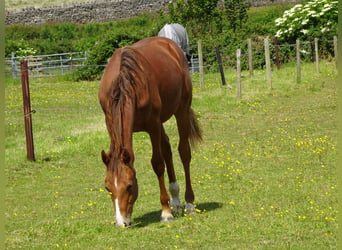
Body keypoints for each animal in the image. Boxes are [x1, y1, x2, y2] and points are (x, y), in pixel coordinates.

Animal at [97, 37, 202, 227]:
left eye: (129, 186)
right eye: (107, 187)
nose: (121, 223)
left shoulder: (153, 125)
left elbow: (158, 164)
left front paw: (165, 212)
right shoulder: (110, 123)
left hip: (181, 110)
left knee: (184, 152)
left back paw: (189, 203)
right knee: (167, 148)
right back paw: (176, 202)